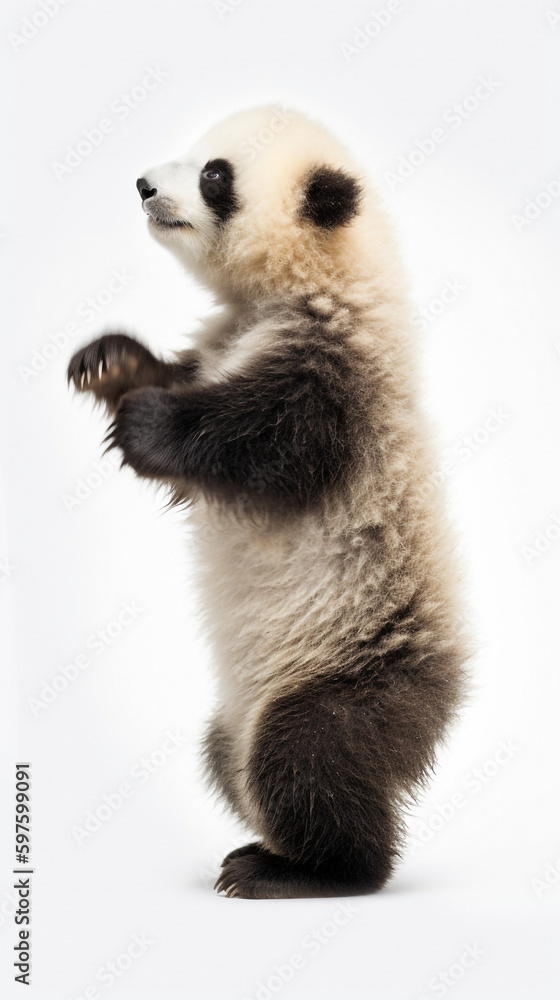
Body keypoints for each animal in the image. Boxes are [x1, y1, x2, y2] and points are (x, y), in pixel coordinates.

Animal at [67, 105, 467, 899]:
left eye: (215, 175)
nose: (144, 184)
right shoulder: (231, 343)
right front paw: (111, 362)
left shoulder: (338, 383)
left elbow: (259, 450)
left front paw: (146, 419)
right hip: (238, 713)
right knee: (233, 759)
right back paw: (263, 846)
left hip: (360, 666)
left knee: (310, 754)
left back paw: (309, 872)